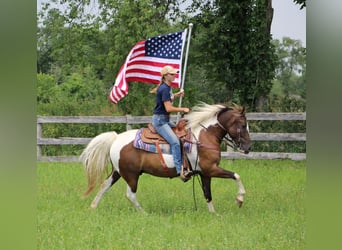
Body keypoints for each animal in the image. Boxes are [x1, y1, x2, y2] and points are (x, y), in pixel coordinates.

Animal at [80, 102, 251, 212]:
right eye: (243, 125)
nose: (248, 148)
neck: (203, 136)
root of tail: (116, 138)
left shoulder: (205, 173)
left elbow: (207, 194)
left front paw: (214, 214)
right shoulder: (211, 169)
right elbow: (236, 175)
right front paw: (240, 199)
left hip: (118, 172)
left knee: (104, 185)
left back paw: (92, 208)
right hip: (131, 175)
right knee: (130, 194)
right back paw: (144, 213)